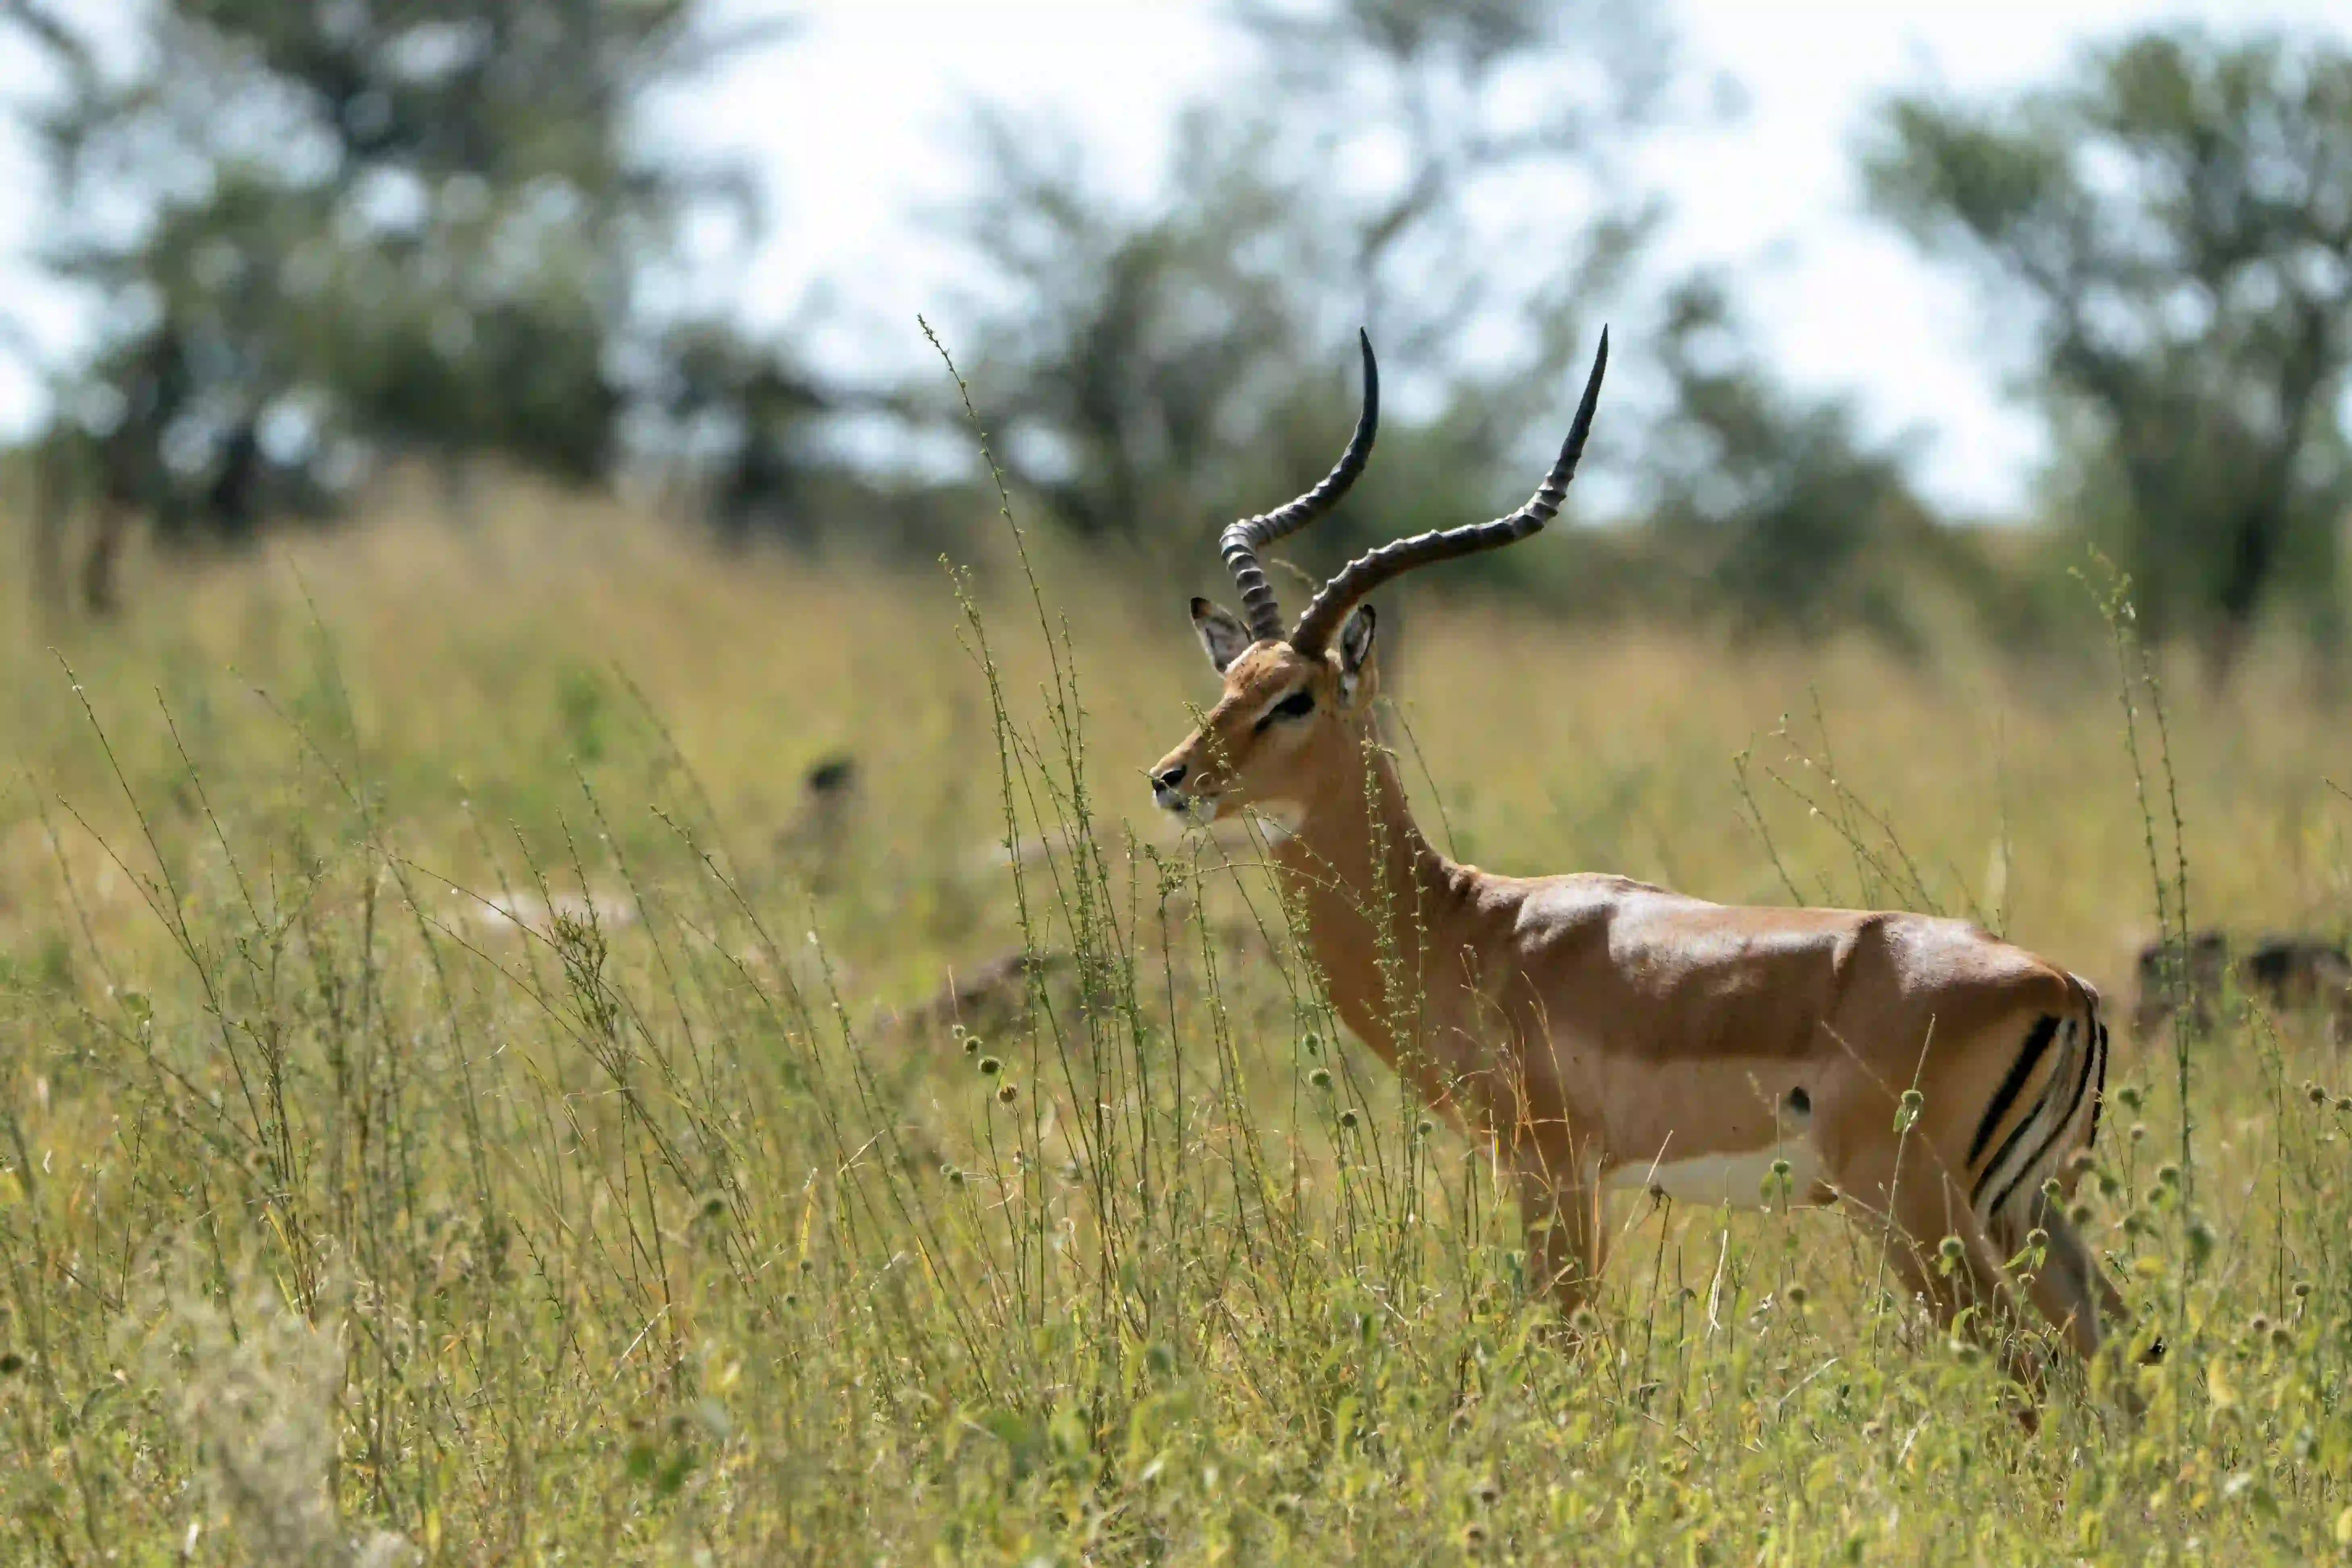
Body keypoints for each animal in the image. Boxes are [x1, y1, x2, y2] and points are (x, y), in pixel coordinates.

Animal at [1149, 330, 2136, 1397]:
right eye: (1229, 680)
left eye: (1294, 699)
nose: (1171, 778)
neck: (1466, 925)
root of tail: (2062, 986)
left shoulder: (1551, 1170)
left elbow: (1564, 1338)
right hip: (2024, 1210)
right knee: (2127, 1356)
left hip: (1917, 1212)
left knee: (2034, 1373)